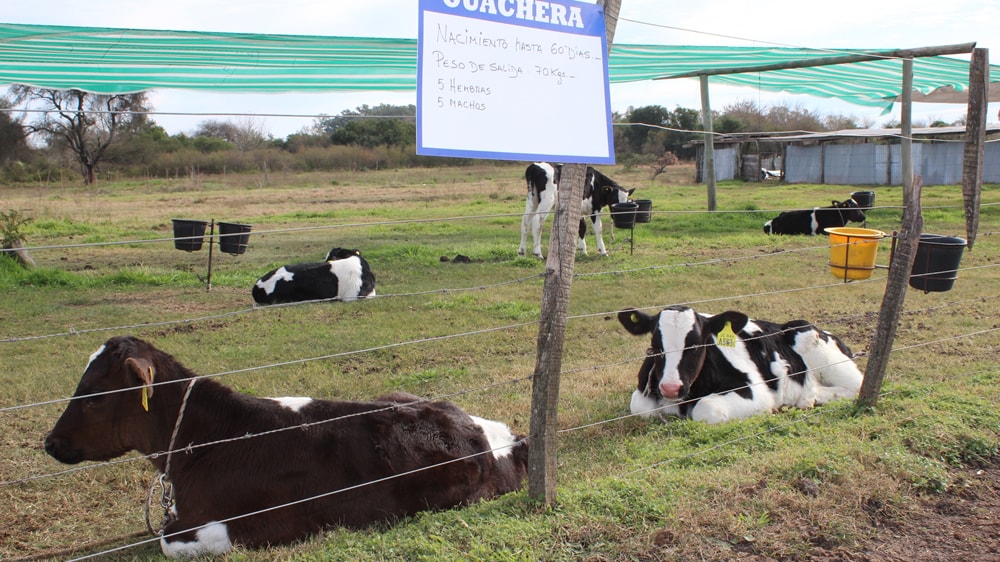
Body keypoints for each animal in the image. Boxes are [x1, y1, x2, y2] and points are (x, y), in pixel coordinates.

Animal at [616, 304, 860, 422]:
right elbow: (640, 407)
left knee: (853, 386)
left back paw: (808, 397)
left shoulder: (757, 391)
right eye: (655, 346)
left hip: (817, 347)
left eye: (696, 345)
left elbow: (706, 408)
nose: (670, 388)